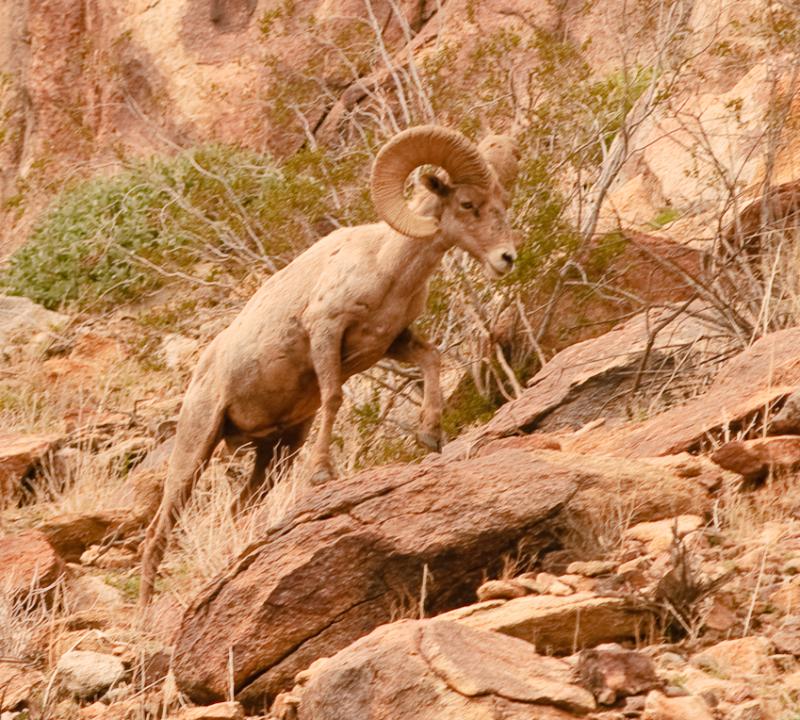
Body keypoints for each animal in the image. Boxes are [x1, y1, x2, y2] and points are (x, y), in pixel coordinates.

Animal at [139, 125, 520, 605]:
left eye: (502, 202)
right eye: (468, 204)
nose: (507, 258)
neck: (386, 266)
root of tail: (201, 371)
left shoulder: (391, 343)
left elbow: (432, 359)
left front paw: (431, 435)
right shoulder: (325, 332)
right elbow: (334, 397)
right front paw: (323, 474)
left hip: (278, 450)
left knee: (240, 506)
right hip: (197, 446)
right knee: (158, 532)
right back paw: (145, 613)